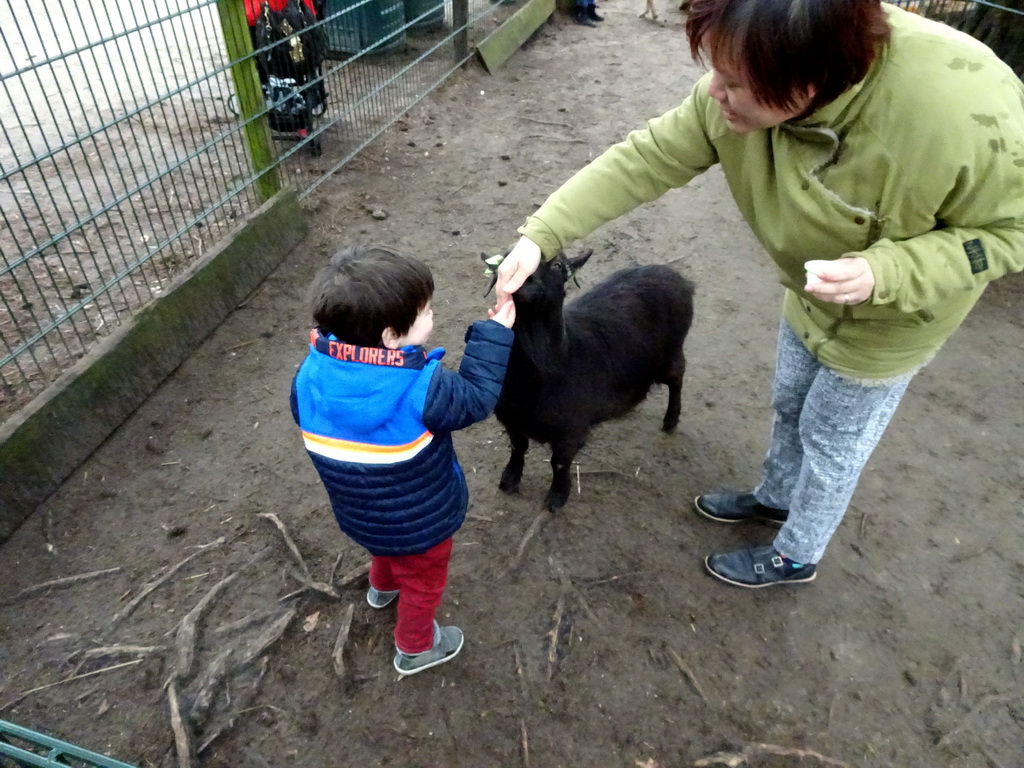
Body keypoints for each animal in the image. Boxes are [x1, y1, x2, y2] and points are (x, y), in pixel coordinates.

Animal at [489, 252, 696, 514]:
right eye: (505, 260)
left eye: (558, 265)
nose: (524, 279)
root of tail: (677, 277)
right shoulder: (512, 420)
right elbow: (518, 447)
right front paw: (509, 479)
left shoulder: (570, 431)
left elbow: (559, 464)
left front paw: (557, 497)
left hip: (671, 353)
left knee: (677, 378)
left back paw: (671, 420)